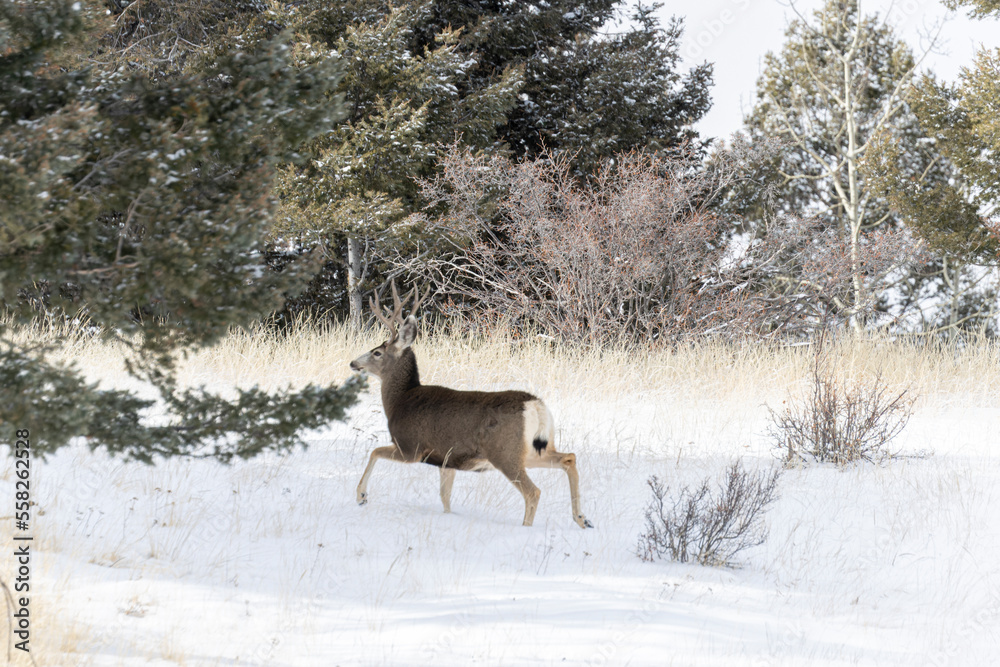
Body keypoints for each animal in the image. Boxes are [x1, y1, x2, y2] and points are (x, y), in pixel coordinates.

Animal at [349, 283, 592, 529]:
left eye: (377, 352)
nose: (353, 363)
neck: (400, 401)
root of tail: (535, 405)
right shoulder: (446, 460)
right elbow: (445, 497)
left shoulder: (410, 448)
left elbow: (374, 452)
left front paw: (361, 496)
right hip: (534, 450)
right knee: (568, 458)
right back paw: (582, 519)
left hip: (505, 453)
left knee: (533, 492)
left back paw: (528, 527)